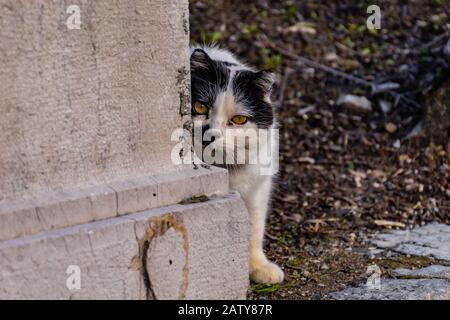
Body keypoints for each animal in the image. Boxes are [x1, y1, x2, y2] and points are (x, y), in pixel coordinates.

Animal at [190, 46, 284, 284]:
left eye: (239, 119)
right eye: (199, 106)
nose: (209, 135)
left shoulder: (257, 190)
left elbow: (254, 228)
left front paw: (259, 267)